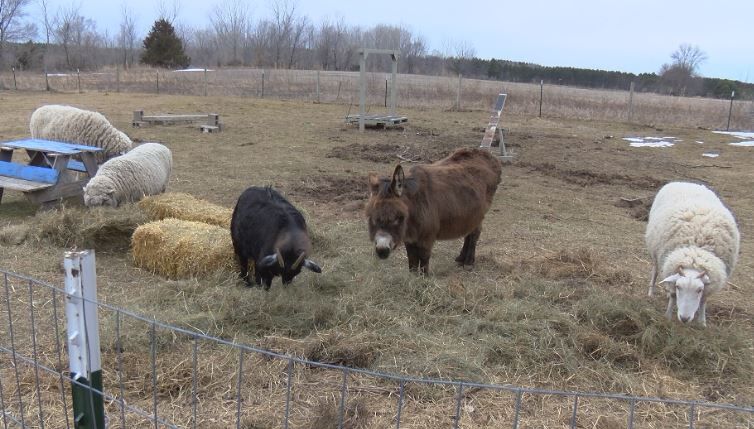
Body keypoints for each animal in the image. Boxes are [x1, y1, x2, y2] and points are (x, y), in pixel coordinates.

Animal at [644, 180, 736, 324]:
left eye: (699, 290)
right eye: (678, 287)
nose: (684, 318)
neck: (694, 255)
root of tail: (685, 182)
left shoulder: (708, 286)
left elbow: (704, 300)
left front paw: (702, 322)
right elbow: (673, 295)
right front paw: (668, 315)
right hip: (655, 254)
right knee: (655, 271)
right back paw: (651, 292)